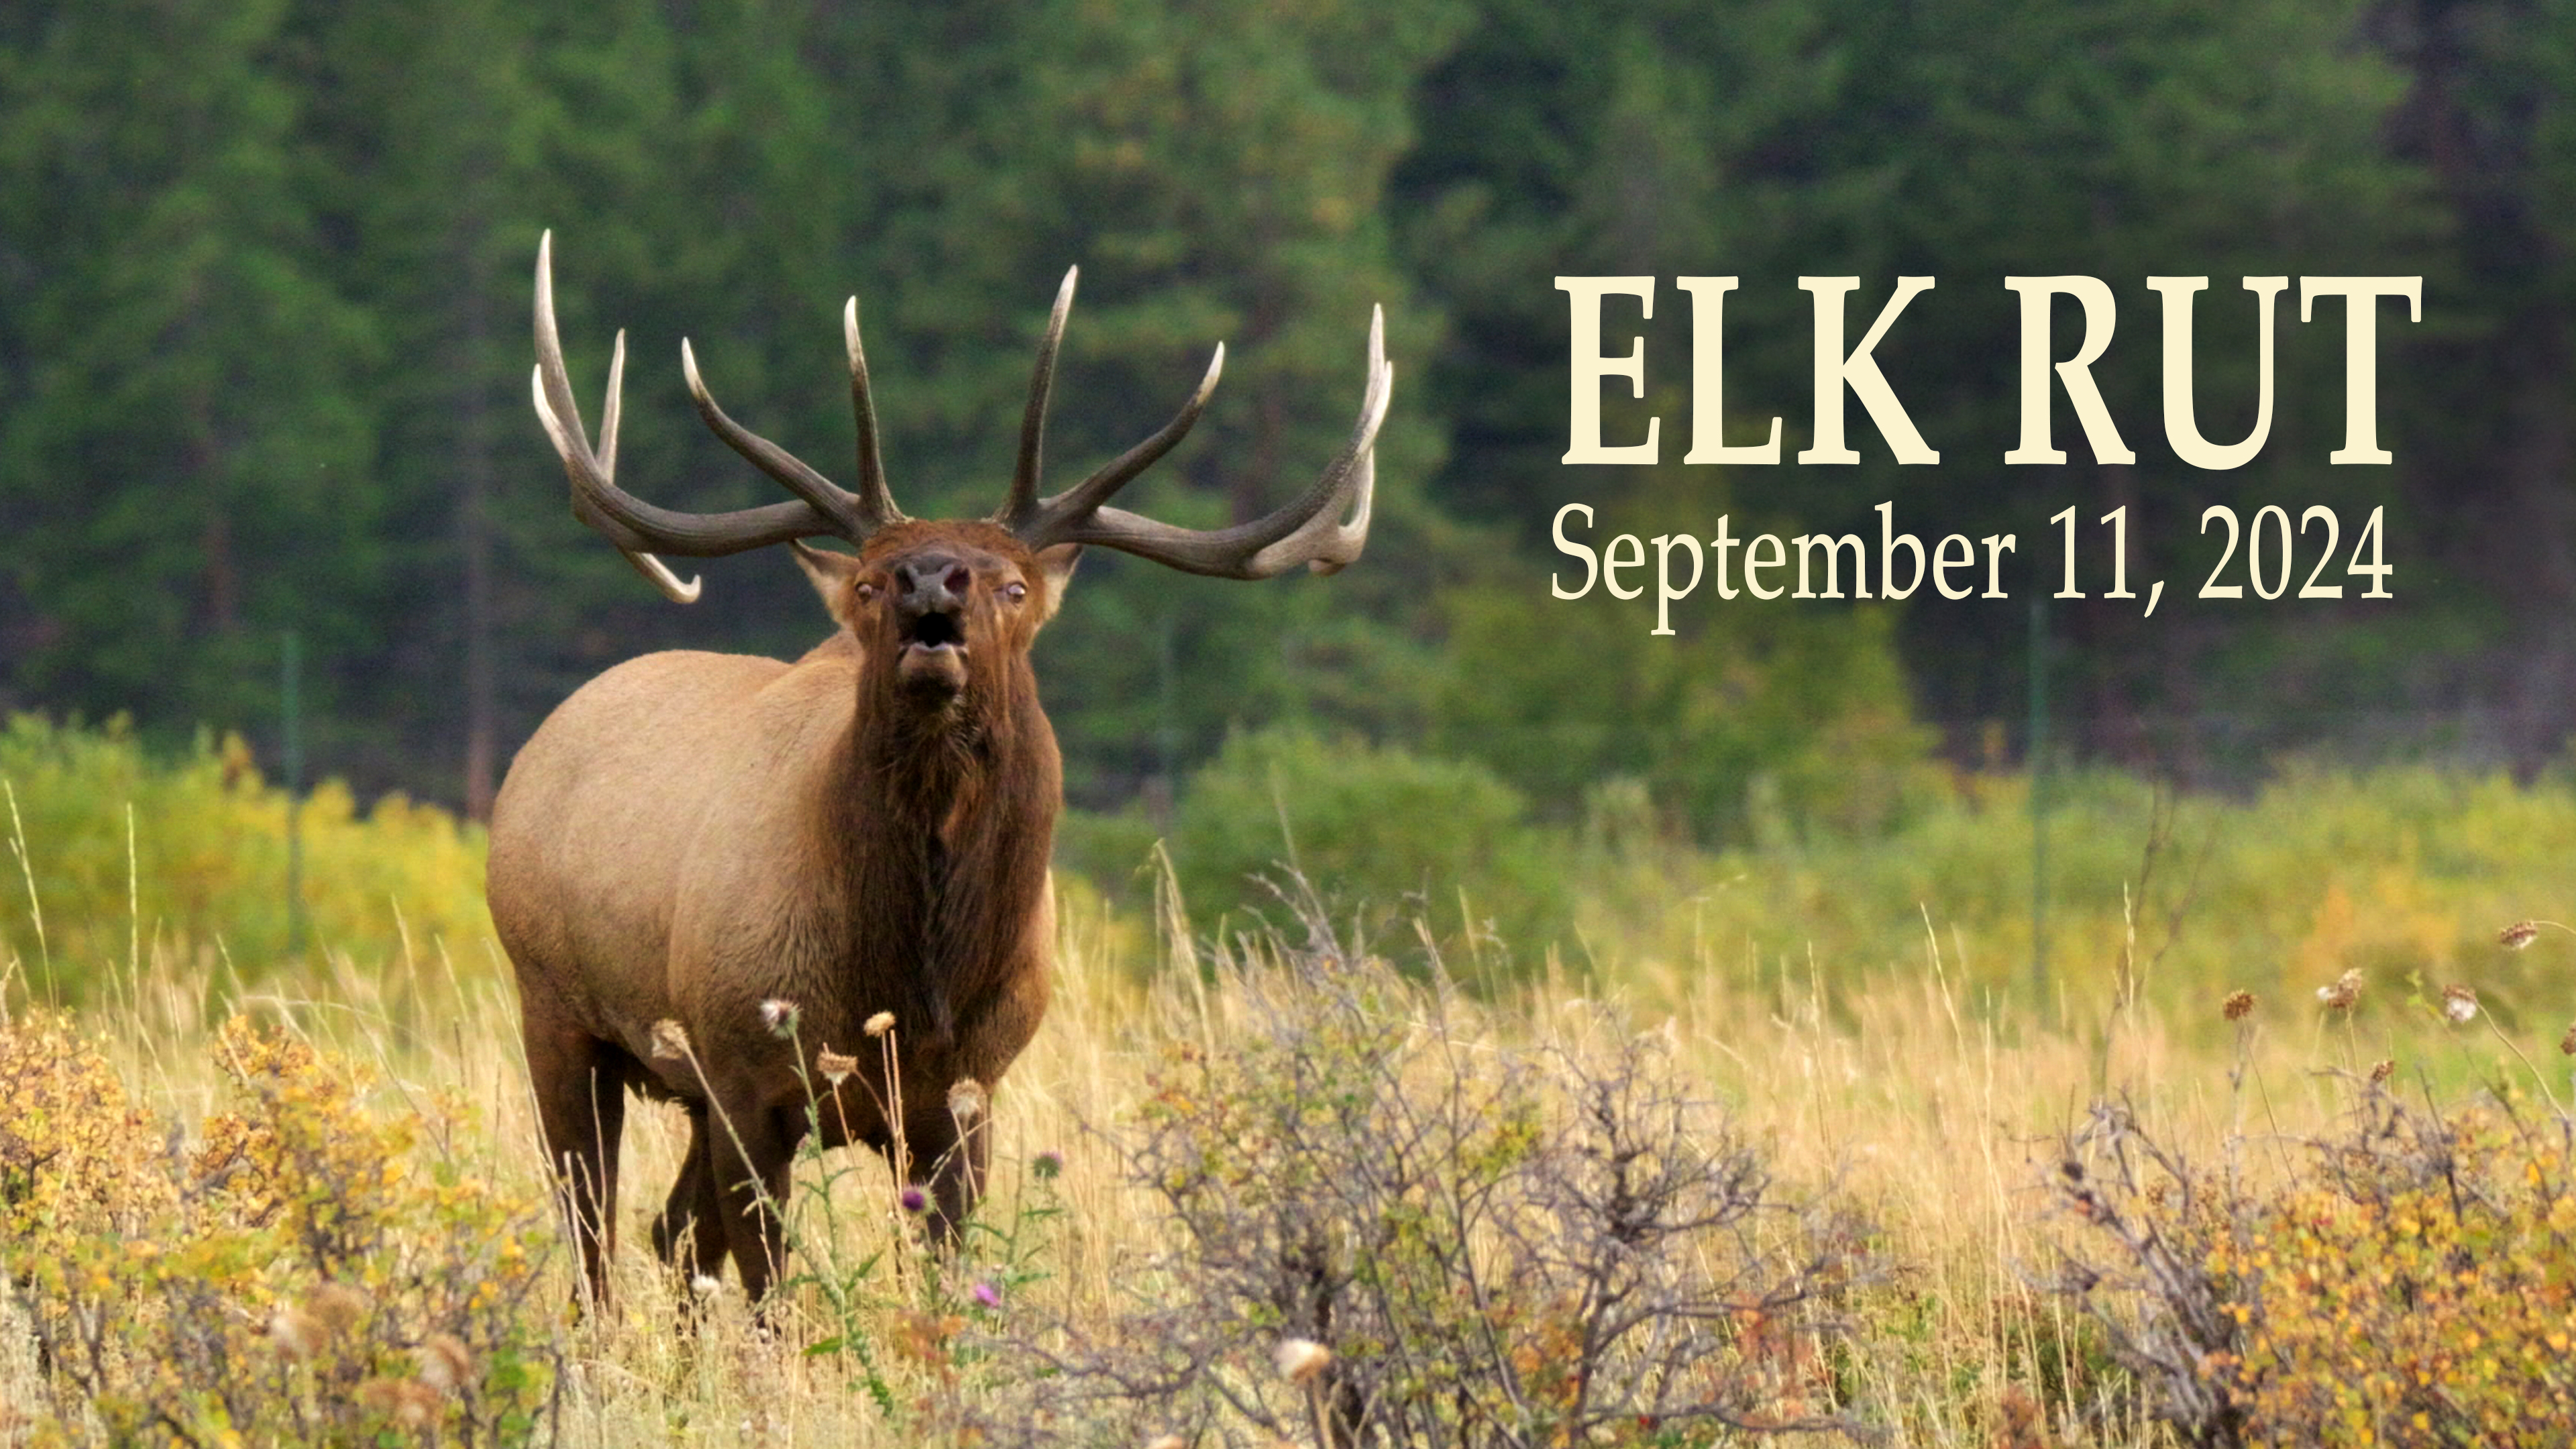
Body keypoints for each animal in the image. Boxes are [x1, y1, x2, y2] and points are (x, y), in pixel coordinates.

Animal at [487, 233, 1388, 1304]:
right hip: (556, 1011)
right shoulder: (743, 1073)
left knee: (670, 1239)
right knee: (595, 1242)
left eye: (1014, 585)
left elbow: (942, 1288)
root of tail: (536, 749)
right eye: (873, 581)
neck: (906, 982)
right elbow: (771, 1293)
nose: (932, 582)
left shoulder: (966, 1094)